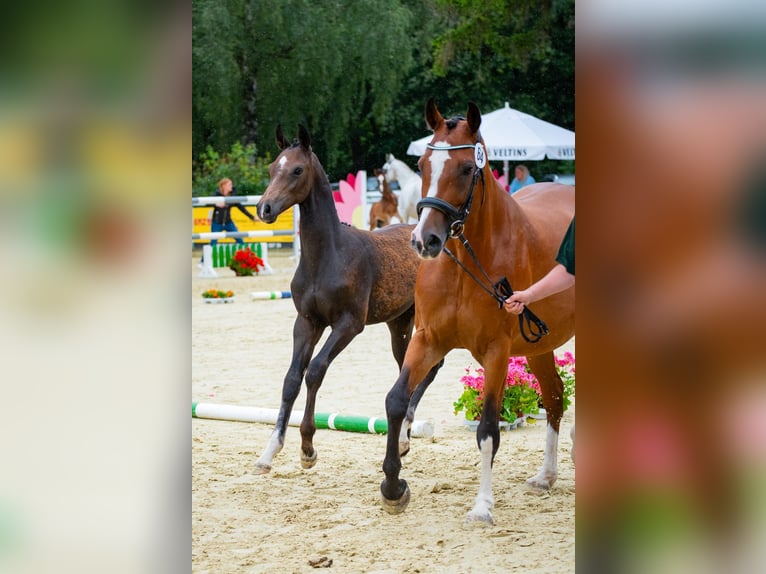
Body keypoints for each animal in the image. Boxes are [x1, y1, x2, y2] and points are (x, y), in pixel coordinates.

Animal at [255, 127, 428, 476]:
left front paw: (307, 447)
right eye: (271, 168)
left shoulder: (348, 324)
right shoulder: (307, 322)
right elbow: (292, 378)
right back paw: (403, 438)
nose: (264, 209)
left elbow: (315, 371)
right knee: (406, 366)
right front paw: (269, 452)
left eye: (297, 170)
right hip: (399, 323)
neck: (326, 256)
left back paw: (404, 436)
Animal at [384, 100, 576, 528]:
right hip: (539, 344)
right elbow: (397, 400)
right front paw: (393, 486)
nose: (425, 240)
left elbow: (488, 428)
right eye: (422, 164)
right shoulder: (427, 340)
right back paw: (546, 475)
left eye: (466, 169)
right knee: (555, 396)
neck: (466, 264)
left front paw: (483, 506)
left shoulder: (496, 352)